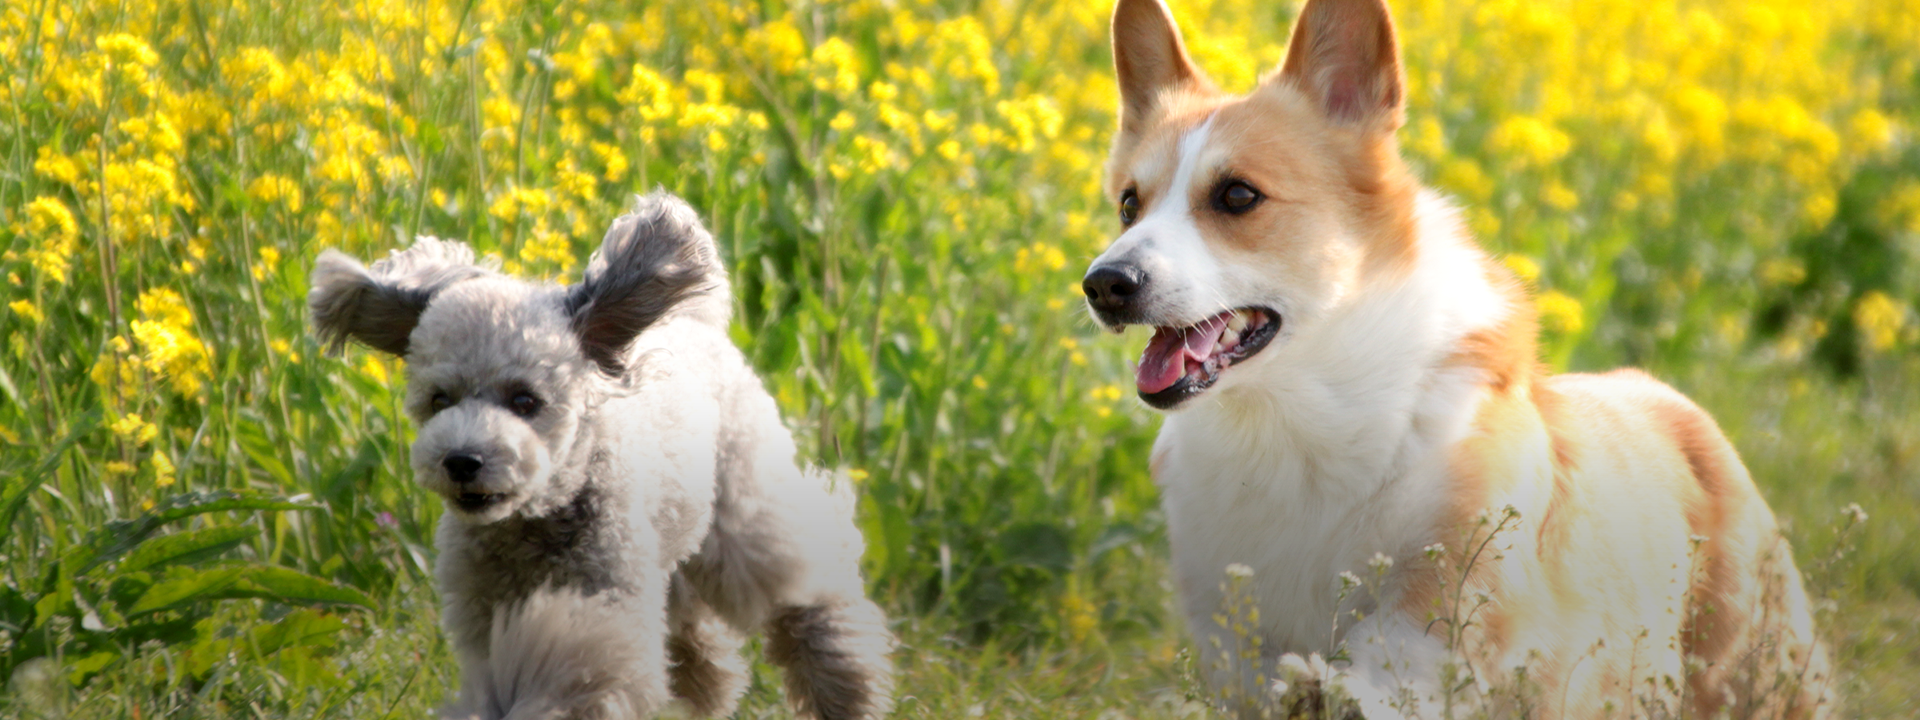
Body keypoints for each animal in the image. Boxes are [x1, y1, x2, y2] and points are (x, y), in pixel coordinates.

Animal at [305, 192, 890, 720]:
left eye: (526, 400)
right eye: (438, 400)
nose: (462, 461)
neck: (534, 525)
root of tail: (694, 322)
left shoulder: (600, 605)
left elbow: (574, 676)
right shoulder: (486, 622)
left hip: (743, 509)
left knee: (805, 588)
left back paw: (847, 688)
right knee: (697, 638)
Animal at [1090, 1, 1835, 718]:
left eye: (1238, 195)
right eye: (1129, 205)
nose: (1104, 284)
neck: (1298, 416)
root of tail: (1669, 403)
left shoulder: (1445, 600)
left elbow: (1386, 663)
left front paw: (1327, 688)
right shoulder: (1232, 637)